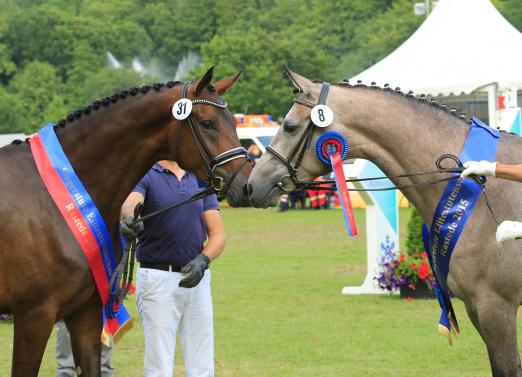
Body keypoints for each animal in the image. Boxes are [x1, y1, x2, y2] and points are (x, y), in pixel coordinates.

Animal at [0, 66, 251, 374]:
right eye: (207, 123)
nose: (247, 183)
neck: (49, 197)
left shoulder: (85, 313)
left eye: (234, 123)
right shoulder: (34, 316)